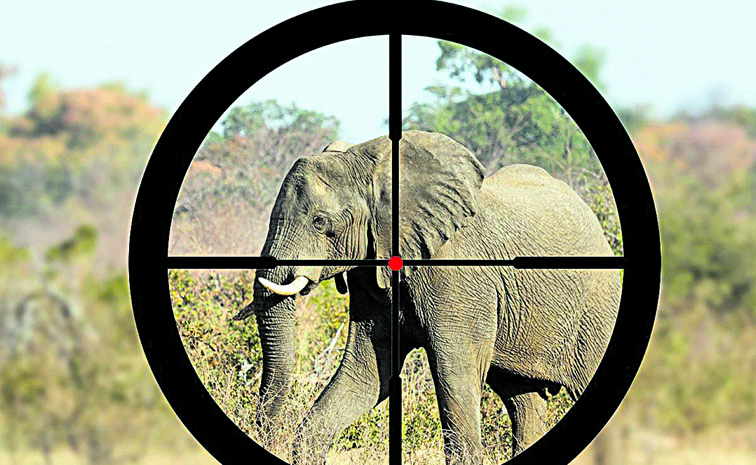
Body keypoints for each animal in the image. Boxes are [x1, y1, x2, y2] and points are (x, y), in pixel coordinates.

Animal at [233, 131, 621, 464]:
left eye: (319, 222)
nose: (268, 435)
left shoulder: (458, 273)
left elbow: (453, 371)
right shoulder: (372, 275)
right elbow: (368, 371)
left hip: (598, 308)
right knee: (523, 402)